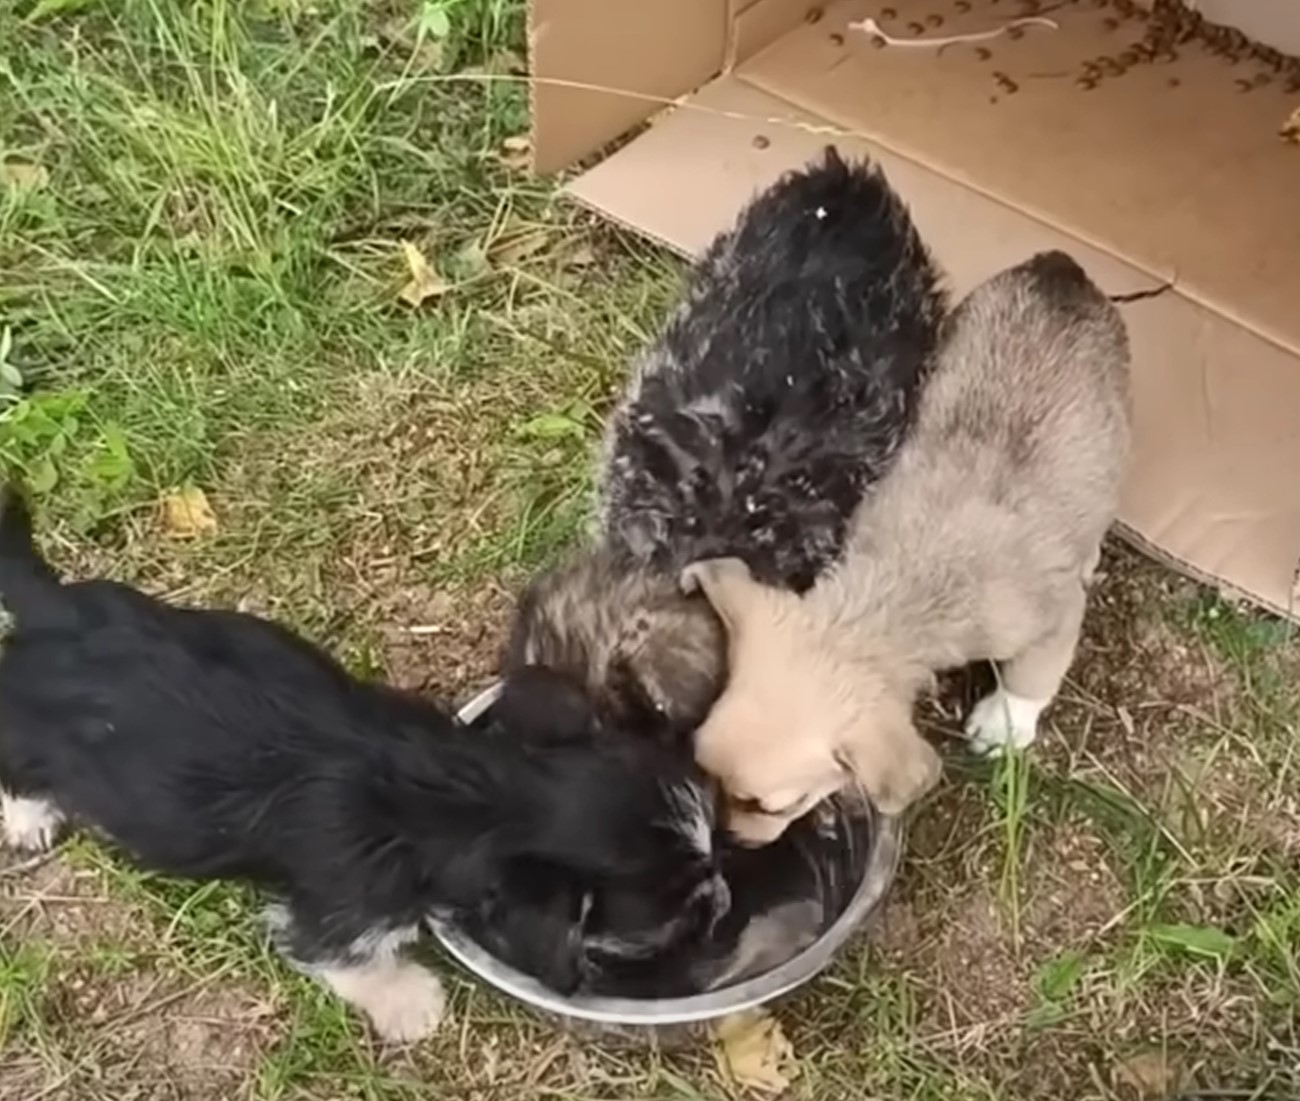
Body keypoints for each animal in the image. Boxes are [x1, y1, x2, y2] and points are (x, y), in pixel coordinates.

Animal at [686, 252, 1133, 842]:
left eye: (775, 806)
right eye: (699, 764)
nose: (723, 842)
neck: (912, 582)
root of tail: (1061, 266)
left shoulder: (1054, 620)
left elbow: (1032, 677)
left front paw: (1004, 723)